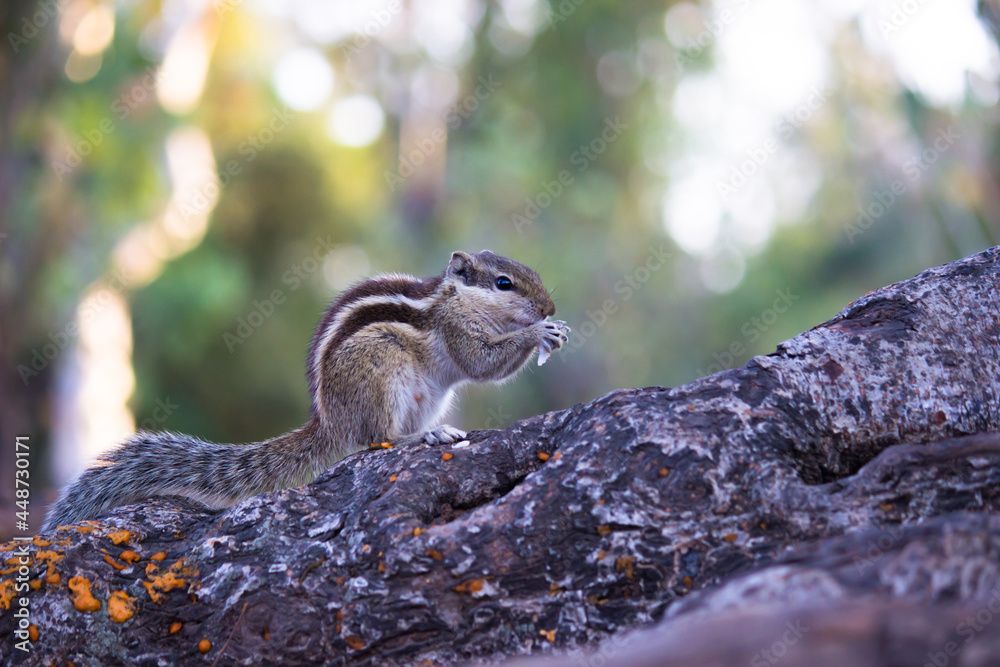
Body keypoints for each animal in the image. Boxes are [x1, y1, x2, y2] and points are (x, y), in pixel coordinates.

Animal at [42, 250, 569, 531]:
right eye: (503, 283)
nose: (549, 306)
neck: (454, 299)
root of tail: (328, 420)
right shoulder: (456, 331)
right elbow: (481, 363)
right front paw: (538, 334)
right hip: (382, 372)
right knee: (376, 439)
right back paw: (423, 437)